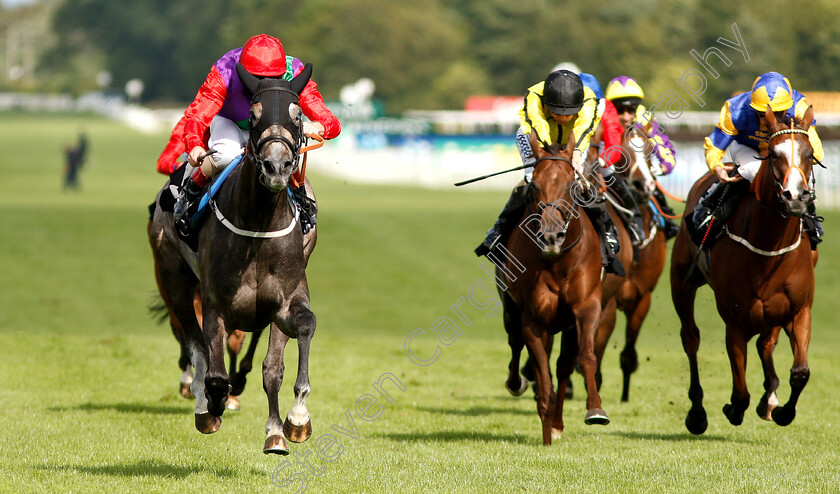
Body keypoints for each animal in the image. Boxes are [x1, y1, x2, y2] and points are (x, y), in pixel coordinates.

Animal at [149, 63, 320, 454]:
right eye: (254, 115)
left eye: (298, 115)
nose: (277, 166)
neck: (258, 226)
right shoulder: (216, 302)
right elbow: (212, 367)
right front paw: (214, 401)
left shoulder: (284, 301)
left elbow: (283, 355)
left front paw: (290, 423)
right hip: (172, 276)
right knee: (194, 343)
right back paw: (204, 403)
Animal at [496, 133, 628, 446]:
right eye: (535, 185)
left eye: (570, 184)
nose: (551, 236)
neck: (557, 263)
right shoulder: (533, 319)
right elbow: (542, 372)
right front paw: (546, 434)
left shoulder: (587, 307)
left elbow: (585, 357)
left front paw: (595, 409)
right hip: (510, 307)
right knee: (516, 344)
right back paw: (518, 385)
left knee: (564, 363)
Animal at [672, 106, 816, 434]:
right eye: (774, 155)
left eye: (810, 153)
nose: (796, 197)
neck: (769, 248)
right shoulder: (735, 320)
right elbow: (740, 393)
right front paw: (732, 409)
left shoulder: (799, 309)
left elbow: (800, 371)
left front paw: (782, 410)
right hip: (681, 283)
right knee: (690, 338)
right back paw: (697, 412)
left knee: (766, 343)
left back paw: (770, 398)